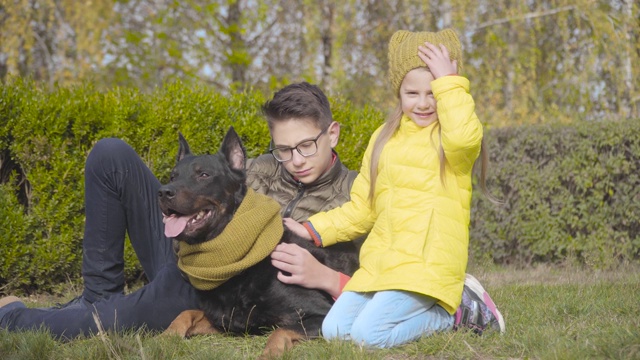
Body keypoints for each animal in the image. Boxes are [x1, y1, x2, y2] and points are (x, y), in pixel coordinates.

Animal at [154, 126, 356, 358]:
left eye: (203, 175)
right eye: (173, 175)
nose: (163, 192)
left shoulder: (322, 316)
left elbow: (279, 332)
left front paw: (270, 353)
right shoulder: (227, 320)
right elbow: (187, 312)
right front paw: (166, 336)